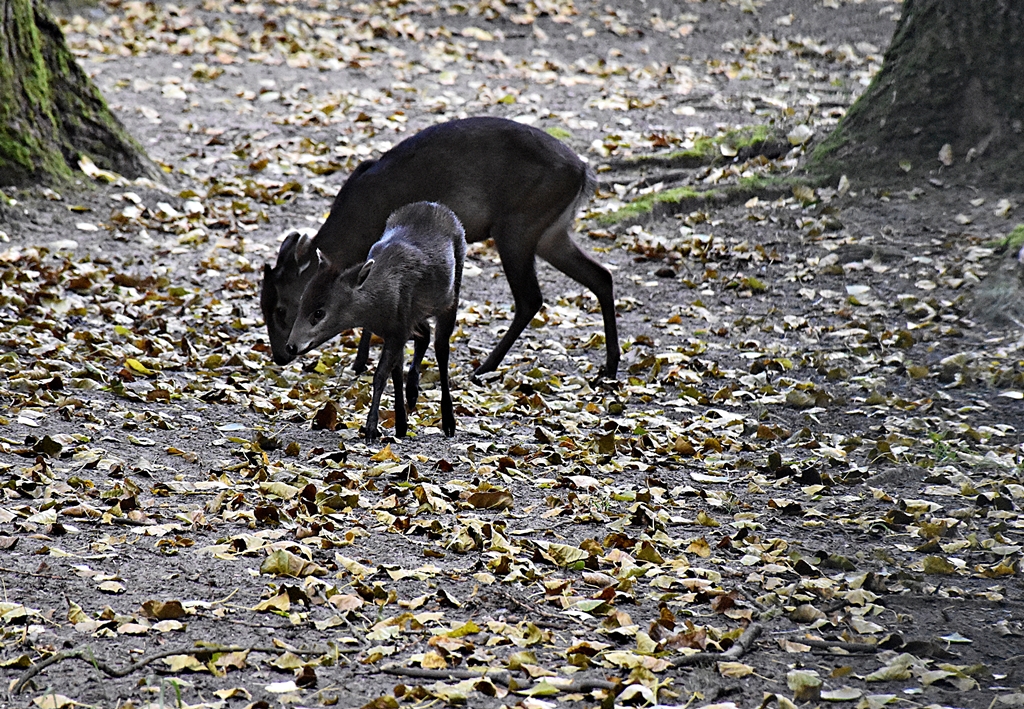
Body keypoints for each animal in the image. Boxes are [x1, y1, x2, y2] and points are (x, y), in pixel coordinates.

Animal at [260, 116, 619, 381]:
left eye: (281, 308)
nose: (281, 354)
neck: (356, 225)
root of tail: (584, 172)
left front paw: (360, 362)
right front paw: (361, 362)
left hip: (518, 226)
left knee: (530, 298)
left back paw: (484, 368)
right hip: (551, 233)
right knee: (601, 275)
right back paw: (610, 366)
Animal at [286, 201, 466, 440]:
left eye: (319, 313)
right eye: (301, 302)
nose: (291, 346)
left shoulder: (399, 329)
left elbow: (381, 374)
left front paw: (371, 428)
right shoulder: (397, 329)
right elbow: (395, 373)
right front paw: (400, 424)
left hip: (451, 296)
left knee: (442, 349)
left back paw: (448, 422)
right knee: (425, 334)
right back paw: (412, 395)